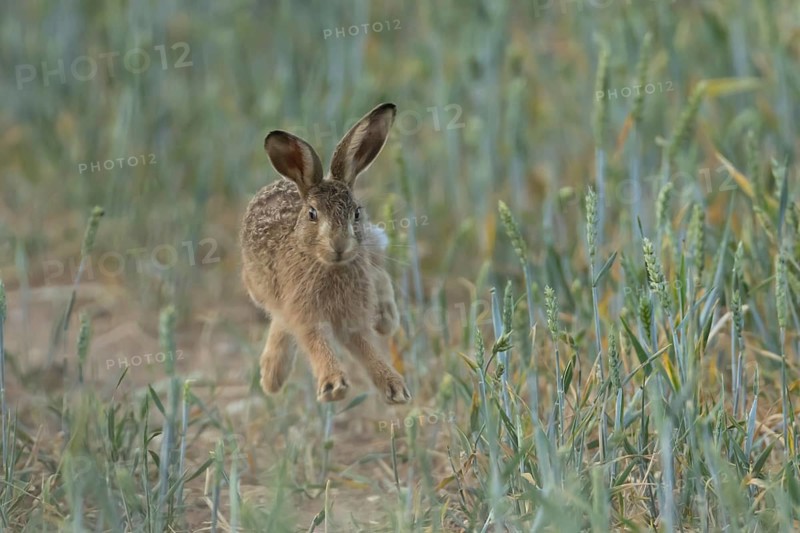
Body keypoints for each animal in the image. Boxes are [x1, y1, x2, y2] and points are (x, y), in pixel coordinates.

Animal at [240, 103, 411, 404]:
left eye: (356, 212)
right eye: (312, 214)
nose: (339, 245)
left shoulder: (351, 318)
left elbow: (365, 348)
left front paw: (394, 386)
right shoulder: (305, 314)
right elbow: (316, 342)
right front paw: (334, 385)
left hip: (370, 244)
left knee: (378, 267)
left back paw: (386, 319)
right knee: (279, 321)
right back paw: (272, 376)